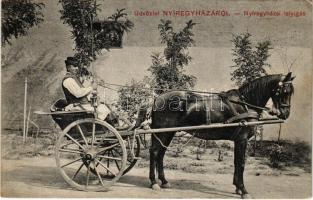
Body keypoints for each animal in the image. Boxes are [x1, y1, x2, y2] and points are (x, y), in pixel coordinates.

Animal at [138, 72, 292, 198]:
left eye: (291, 92)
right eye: (284, 91)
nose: (285, 114)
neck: (245, 105)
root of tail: (158, 97)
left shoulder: (238, 140)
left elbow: (236, 162)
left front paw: (237, 187)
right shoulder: (242, 140)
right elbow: (241, 163)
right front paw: (243, 190)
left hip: (168, 132)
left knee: (161, 153)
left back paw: (164, 181)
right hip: (162, 131)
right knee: (154, 152)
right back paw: (154, 182)